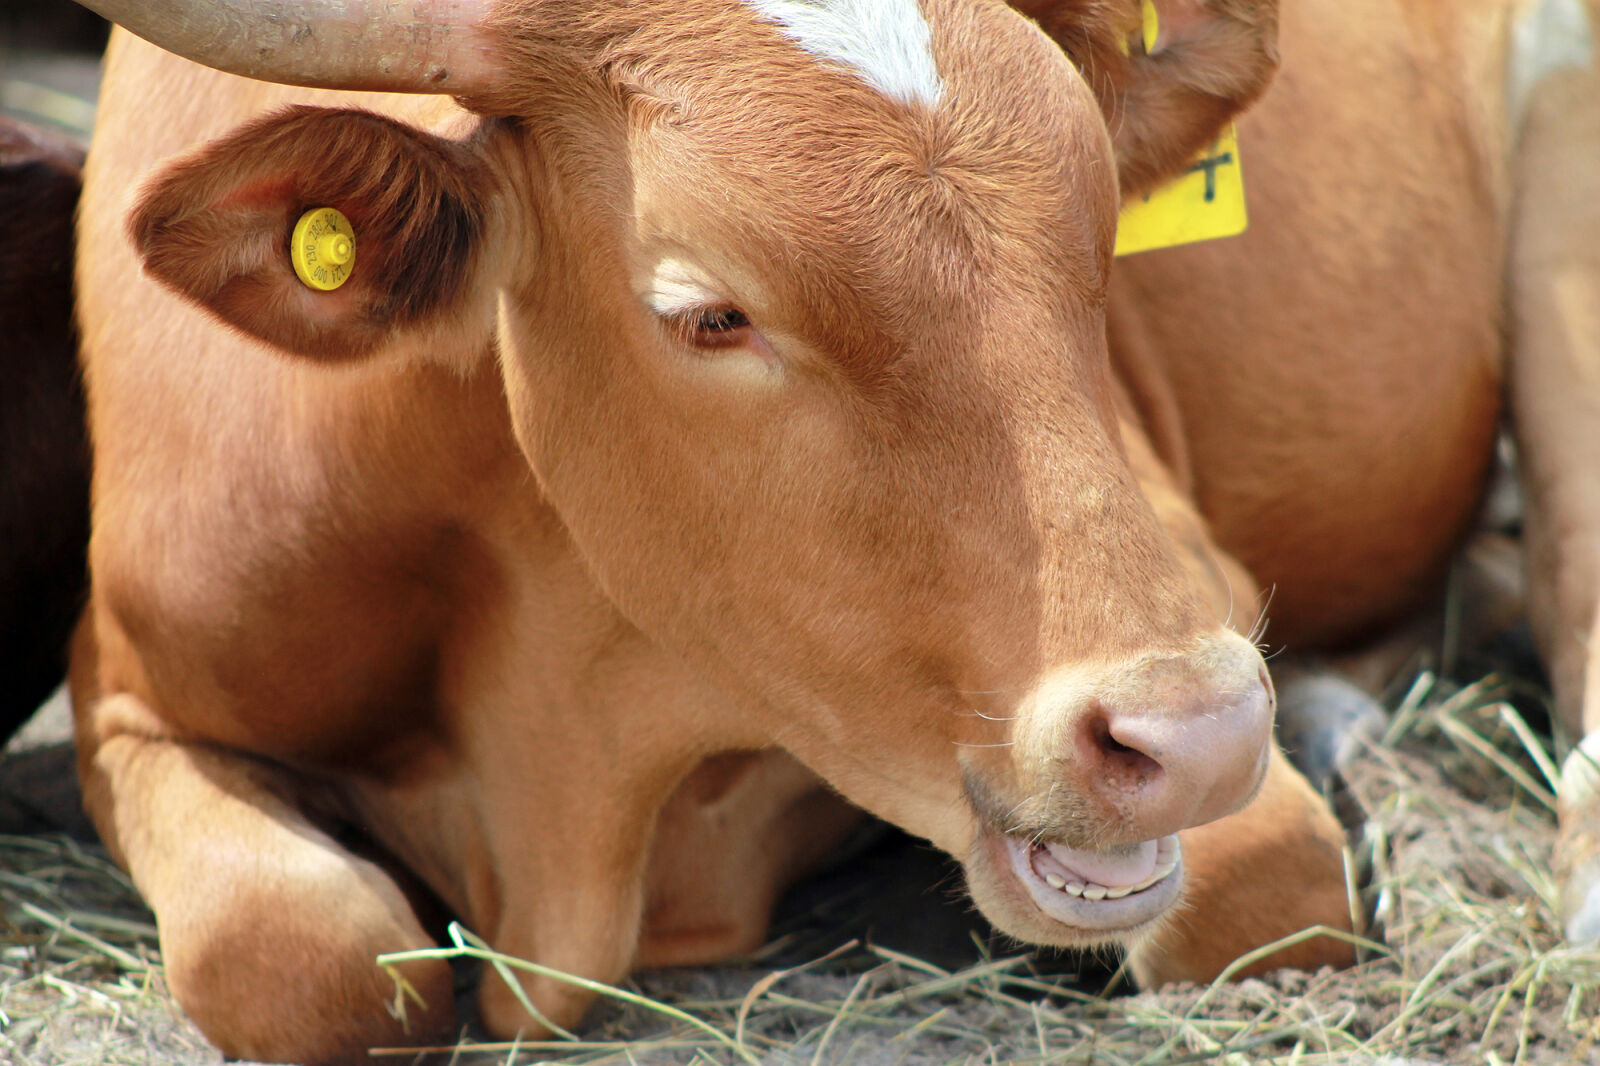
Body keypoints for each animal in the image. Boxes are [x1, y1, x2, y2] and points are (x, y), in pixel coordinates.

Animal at [64, 0, 1598, 1062]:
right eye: (710, 313)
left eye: (1103, 242)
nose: (1205, 734)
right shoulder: (129, 690)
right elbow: (308, 956)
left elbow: (1256, 889)